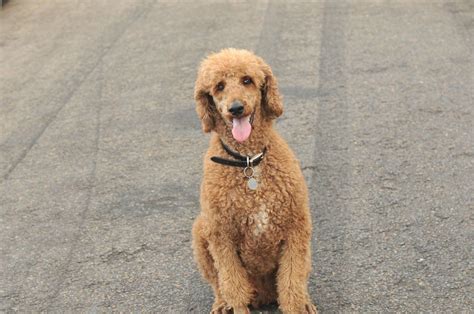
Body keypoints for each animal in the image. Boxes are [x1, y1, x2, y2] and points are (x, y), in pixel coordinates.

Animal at [191, 49, 316, 314]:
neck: (248, 161)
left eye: (247, 80)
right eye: (219, 86)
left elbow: (292, 286)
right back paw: (221, 304)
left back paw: (306, 302)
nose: (236, 108)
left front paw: (298, 305)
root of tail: (264, 296)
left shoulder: (296, 229)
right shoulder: (222, 237)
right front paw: (234, 305)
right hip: (200, 231)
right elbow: (234, 288)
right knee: (220, 285)